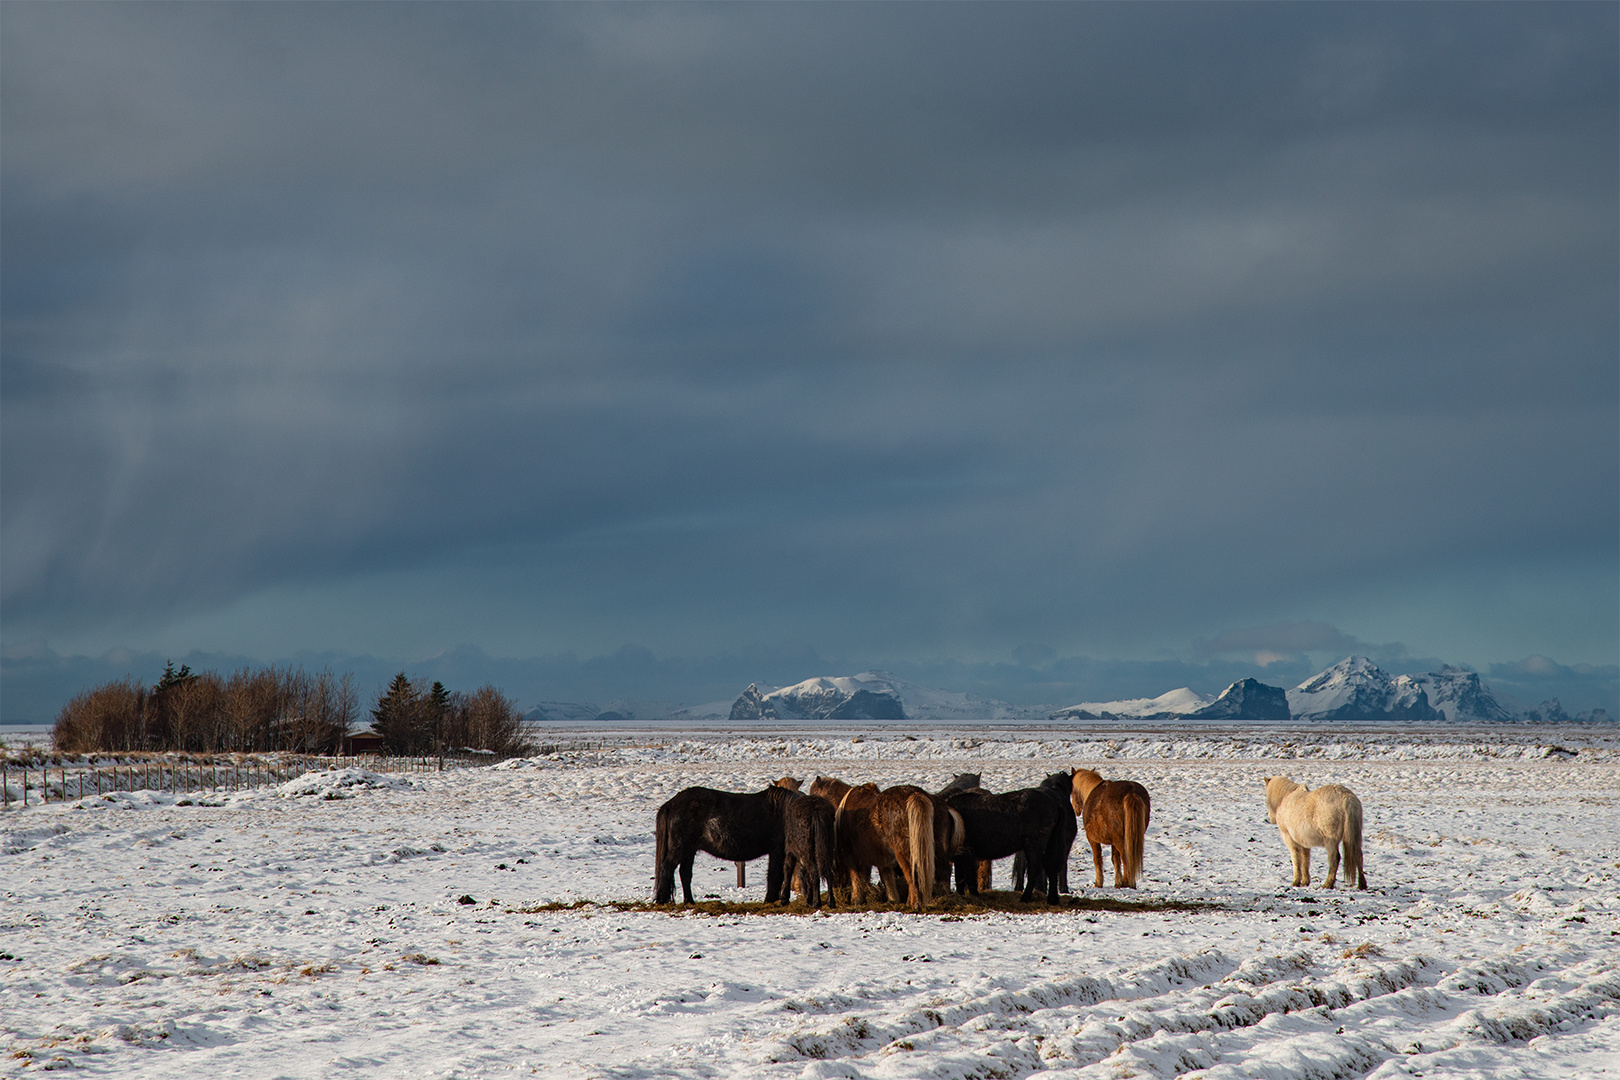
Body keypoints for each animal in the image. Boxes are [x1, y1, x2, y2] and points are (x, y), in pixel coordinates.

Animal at [648, 786, 793, 906]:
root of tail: (671, 803)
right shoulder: (777, 850)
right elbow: (774, 875)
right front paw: (770, 900)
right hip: (681, 848)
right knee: (667, 867)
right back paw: (662, 901)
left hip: (689, 850)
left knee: (685, 873)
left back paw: (689, 901)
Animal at [946, 773, 1075, 906]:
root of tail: (1056, 803)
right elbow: (960, 878)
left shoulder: (966, 853)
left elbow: (969, 877)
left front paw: (974, 896)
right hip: (1049, 845)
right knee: (1051, 869)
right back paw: (1052, 900)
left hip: (1034, 846)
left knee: (1035, 870)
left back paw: (1025, 898)